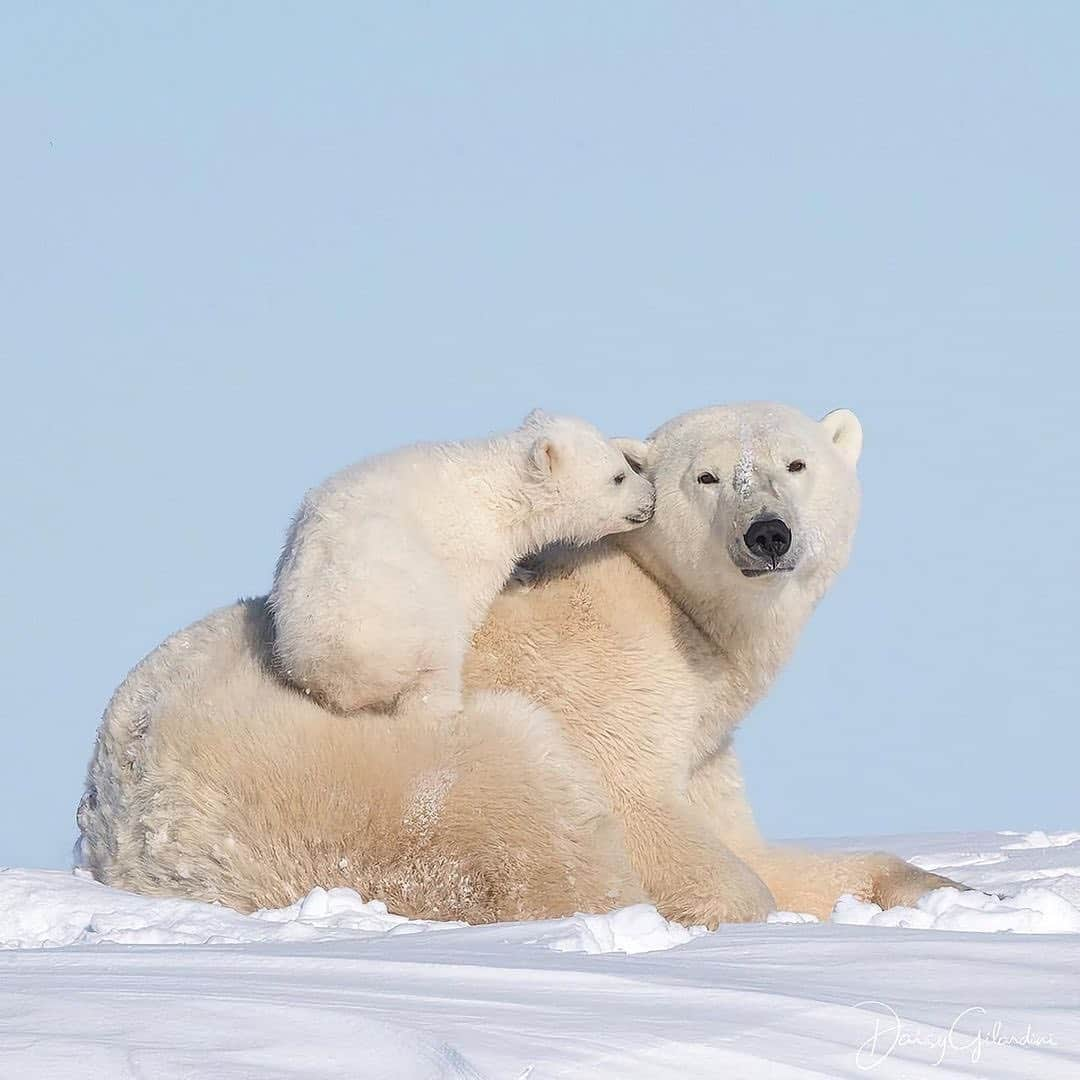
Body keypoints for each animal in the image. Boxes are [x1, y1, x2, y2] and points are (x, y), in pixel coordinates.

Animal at [272, 410, 656, 717]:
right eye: (619, 476)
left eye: (625, 464)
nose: (651, 498)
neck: (498, 493)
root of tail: (336, 664)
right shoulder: (471, 548)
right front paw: (520, 579)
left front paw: (522, 573)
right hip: (412, 614)